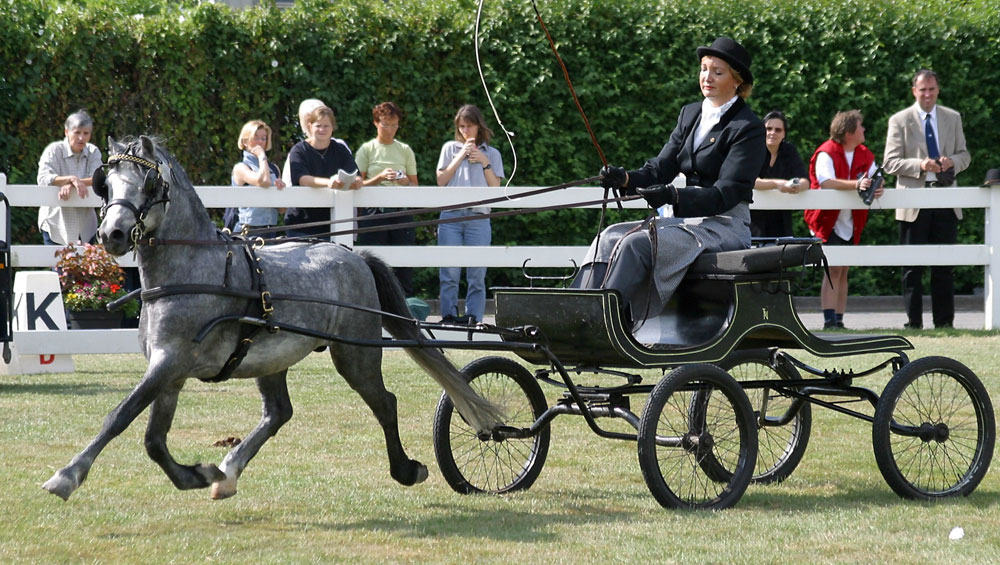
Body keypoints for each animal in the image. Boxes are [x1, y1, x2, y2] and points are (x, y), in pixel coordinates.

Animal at [43, 134, 504, 500]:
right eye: (106, 183)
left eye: (149, 182)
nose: (112, 234)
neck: (191, 271)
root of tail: (353, 255)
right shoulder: (168, 369)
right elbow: (154, 439)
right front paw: (200, 474)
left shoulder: (170, 363)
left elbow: (121, 416)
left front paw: (66, 476)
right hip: (272, 358)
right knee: (278, 413)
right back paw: (228, 472)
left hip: (354, 354)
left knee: (384, 403)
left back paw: (405, 469)